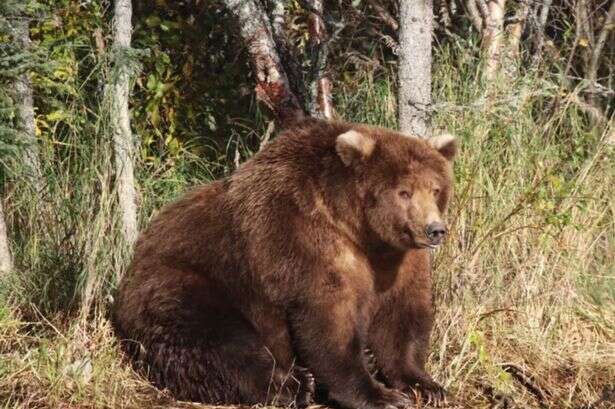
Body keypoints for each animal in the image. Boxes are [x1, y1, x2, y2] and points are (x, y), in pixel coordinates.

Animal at [112, 116, 458, 406]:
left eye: (435, 188)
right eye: (404, 192)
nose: (435, 230)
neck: (360, 231)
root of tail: (133, 263)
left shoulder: (397, 260)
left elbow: (401, 318)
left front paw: (425, 385)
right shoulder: (303, 239)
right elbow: (328, 320)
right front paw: (381, 395)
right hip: (188, 284)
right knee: (220, 342)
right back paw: (294, 385)